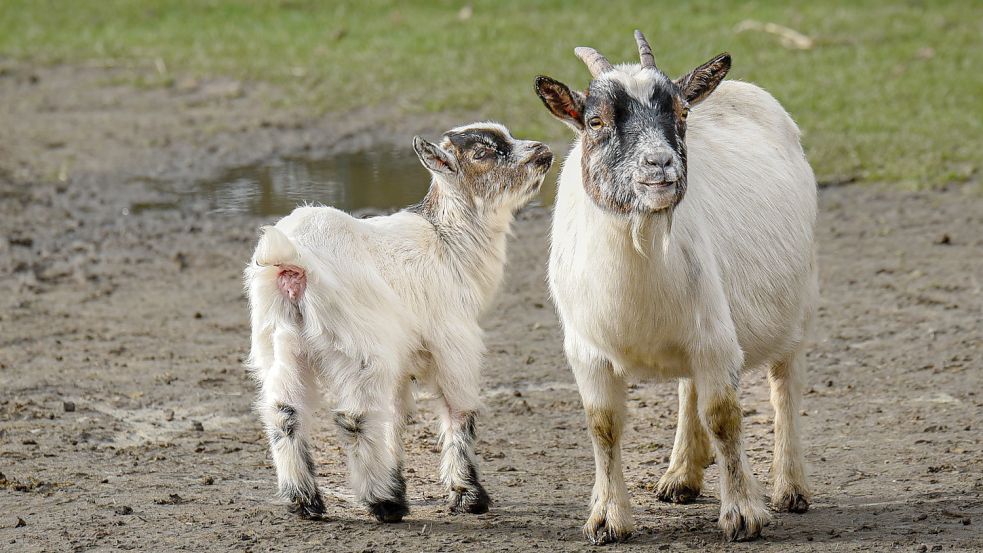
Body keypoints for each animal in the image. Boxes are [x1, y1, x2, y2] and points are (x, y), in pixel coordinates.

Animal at [244, 122, 552, 520]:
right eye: (483, 153)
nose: (543, 152)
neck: (448, 242)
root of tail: (293, 262)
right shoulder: (454, 341)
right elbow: (460, 410)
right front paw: (468, 496)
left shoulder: (403, 358)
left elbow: (397, 417)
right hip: (361, 348)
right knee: (354, 417)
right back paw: (383, 503)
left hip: (279, 343)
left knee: (284, 412)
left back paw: (305, 500)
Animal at [536, 31, 820, 544]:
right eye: (595, 120)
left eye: (682, 114)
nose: (660, 163)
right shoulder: (586, 349)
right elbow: (603, 425)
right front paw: (607, 518)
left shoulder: (717, 339)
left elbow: (725, 417)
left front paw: (743, 515)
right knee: (690, 389)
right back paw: (680, 476)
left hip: (800, 301)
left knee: (784, 385)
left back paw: (791, 489)